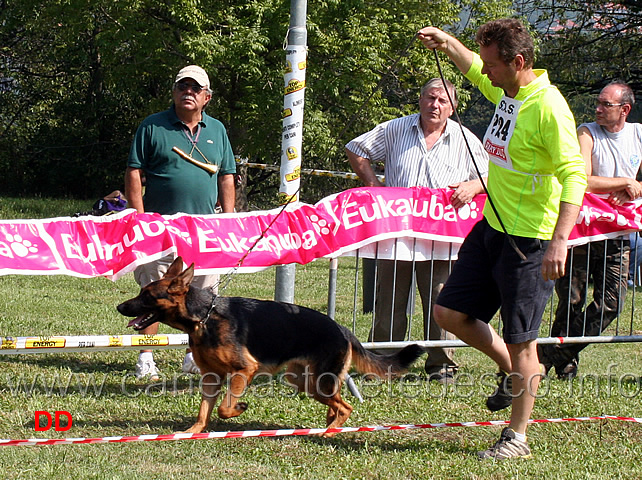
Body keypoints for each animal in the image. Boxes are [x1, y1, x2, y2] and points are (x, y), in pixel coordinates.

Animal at [117, 258, 422, 436]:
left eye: (147, 296)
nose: (120, 307)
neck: (204, 317)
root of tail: (342, 328)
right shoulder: (211, 378)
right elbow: (204, 410)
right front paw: (193, 430)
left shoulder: (243, 371)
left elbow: (224, 408)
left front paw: (239, 408)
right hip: (303, 380)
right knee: (337, 403)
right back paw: (329, 422)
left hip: (316, 382)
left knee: (345, 406)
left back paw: (330, 431)